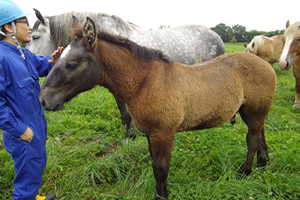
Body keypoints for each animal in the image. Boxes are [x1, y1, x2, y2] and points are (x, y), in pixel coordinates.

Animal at [27, 9, 225, 144]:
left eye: (35, 37)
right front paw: (126, 130)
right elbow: (123, 112)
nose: (42, 100)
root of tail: (216, 35)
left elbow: (126, 113)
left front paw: (128, 137)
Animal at [38, 18, 276, 199]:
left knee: (252, 140)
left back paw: (245, 172)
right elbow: (154, 163)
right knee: (261, 134)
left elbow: (160, 169)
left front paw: (161, 195)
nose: (43, 100)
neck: (146, 81)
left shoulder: (164, 133)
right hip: (252, 112)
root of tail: (264, 63)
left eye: (71, 64)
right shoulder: (150, 134)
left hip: (254, 111)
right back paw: (263, 163)